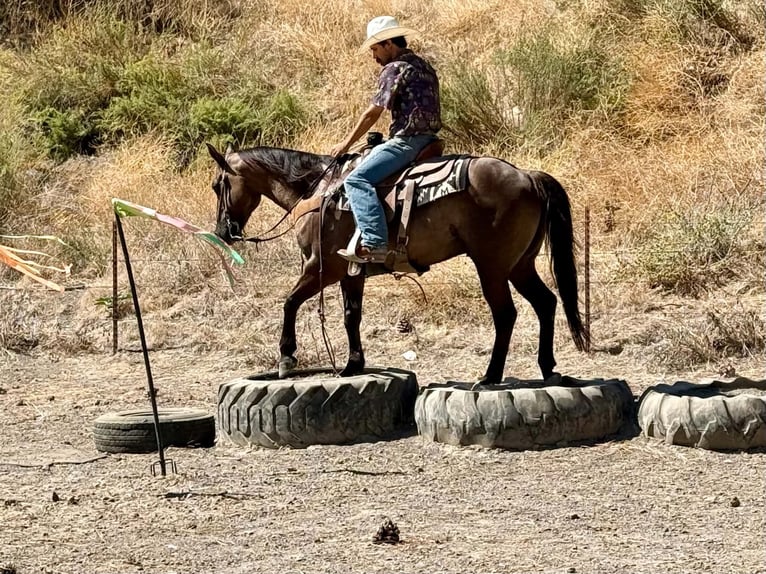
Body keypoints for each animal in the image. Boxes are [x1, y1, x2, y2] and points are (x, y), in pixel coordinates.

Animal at [206, 142, 588, 384]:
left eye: (217, 184)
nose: (224, 231)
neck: (319, 191)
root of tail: (527, 176)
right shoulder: (350, 272)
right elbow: (351, 316)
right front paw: (353, 365)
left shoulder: (321, 268)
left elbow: (289, 303)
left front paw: (287, 358)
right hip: (519, 266)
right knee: (546, 303)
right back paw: (547, 368)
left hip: (492, 268)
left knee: (506, 315)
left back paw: (491, 376)